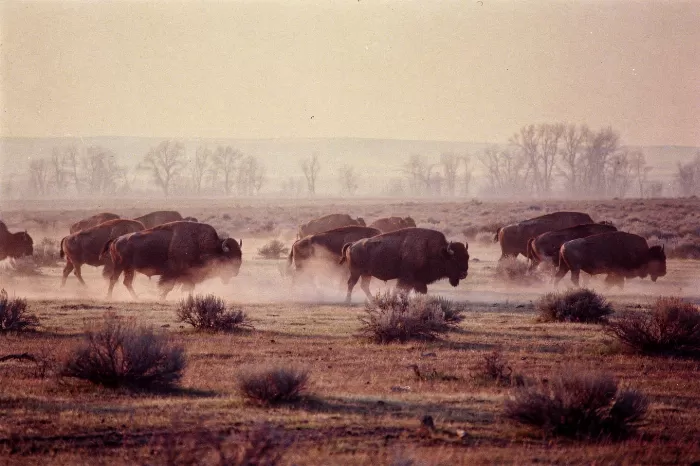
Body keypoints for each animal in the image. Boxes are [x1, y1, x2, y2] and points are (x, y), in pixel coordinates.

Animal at [103, 221, 242, 299]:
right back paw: (109, 297)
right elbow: (167, 287)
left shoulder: (188, 276)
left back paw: (136, 298)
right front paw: (161, 298)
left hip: (129, 269)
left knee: (127, 282)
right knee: (113, 280)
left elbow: (188, 288)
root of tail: (116, 239)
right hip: (119, 266)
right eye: (229, 258)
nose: (235, 272)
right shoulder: (172, 273)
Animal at [339, 228, 469, 303]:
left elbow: (417, 291)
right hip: (356, 272)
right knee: (351, 284)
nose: (464, 274)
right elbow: (401, 290)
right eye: (454, 259)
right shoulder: (408, 277)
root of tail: (353, 244)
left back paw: (374, 301)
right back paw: (348, 301)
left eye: (467, 257)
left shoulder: (418, 280)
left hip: (366, 274)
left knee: (364, 286)